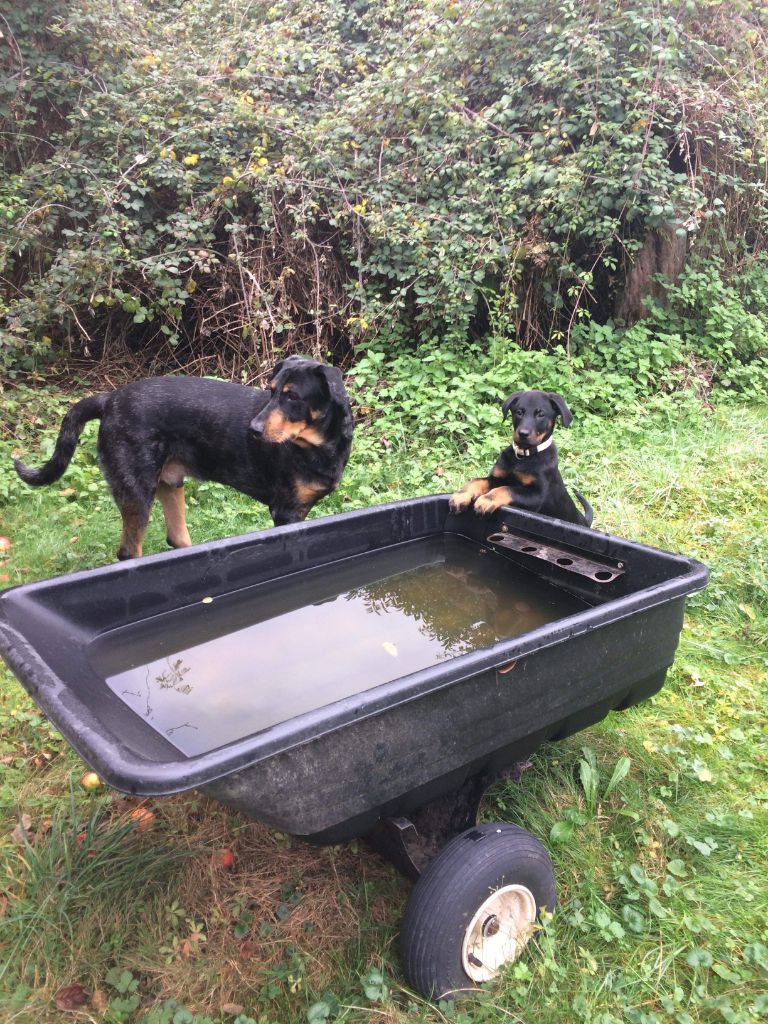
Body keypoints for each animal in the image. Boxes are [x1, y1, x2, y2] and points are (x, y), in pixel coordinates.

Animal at [12, 354, 354, 561]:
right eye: (271, 392)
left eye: (292, 396)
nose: (253, 430)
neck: (320, 446)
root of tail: (109, 399)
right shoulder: (285, 512)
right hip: (136, 490)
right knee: (128, 552)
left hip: (169, 484)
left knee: (177, 539)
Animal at [448, 387, 593, 524]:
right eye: (519, 412)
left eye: (541, 414)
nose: (523, 433)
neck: (523, 456)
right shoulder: (497, 478)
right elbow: (477, 481)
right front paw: (461, 495)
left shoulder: (536, 496)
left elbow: (507, 489)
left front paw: (487, 500)